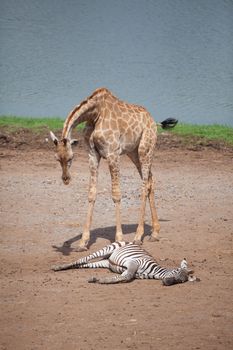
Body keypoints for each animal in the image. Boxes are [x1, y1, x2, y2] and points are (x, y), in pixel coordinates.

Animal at [49, 88, 177, 252]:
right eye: (57, 158)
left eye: (71, 157)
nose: (66, 179)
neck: (94, 114)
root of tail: (154, 122)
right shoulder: (93, 154)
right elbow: (91, 193)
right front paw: (83, 242)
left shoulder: (112, 153)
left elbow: (116, 194)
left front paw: (119, 238)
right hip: (133, 152)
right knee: (150, 180)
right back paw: (155, 233)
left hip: (145, 149)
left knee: (144, 186)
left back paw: (138, 236)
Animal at [51, 242, 197, 286]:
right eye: (176, 272)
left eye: (181, 281)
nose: (167, 283)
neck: (153, 272)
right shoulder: (133, 263)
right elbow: (127, 277)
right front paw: (102, 281)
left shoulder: (129, 270)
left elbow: (122, 277)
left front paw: (98, 279)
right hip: (108, 249)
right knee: (81, 259)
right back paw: (57, 267)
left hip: (105, 262)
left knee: (83, 264)